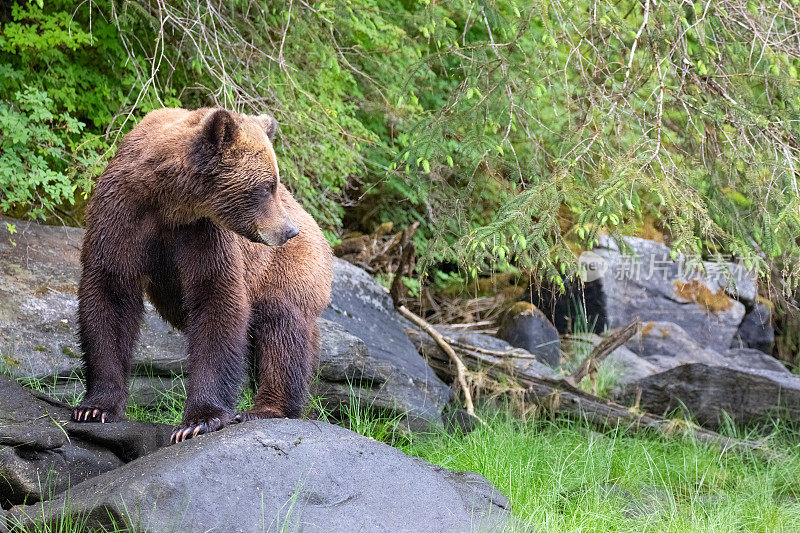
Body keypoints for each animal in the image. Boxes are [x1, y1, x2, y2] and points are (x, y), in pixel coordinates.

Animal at [72, 107, 334, 440]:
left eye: (274, 183)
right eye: (266, 186)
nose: (288, 231)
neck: (168, 202)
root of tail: (318, 232)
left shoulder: (204, 235)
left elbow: (216, 298)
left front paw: (198, 421)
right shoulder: (122, 214)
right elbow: (111, 294)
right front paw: (94, 407)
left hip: (289, 270)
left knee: (282, 329)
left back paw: (267, 408)